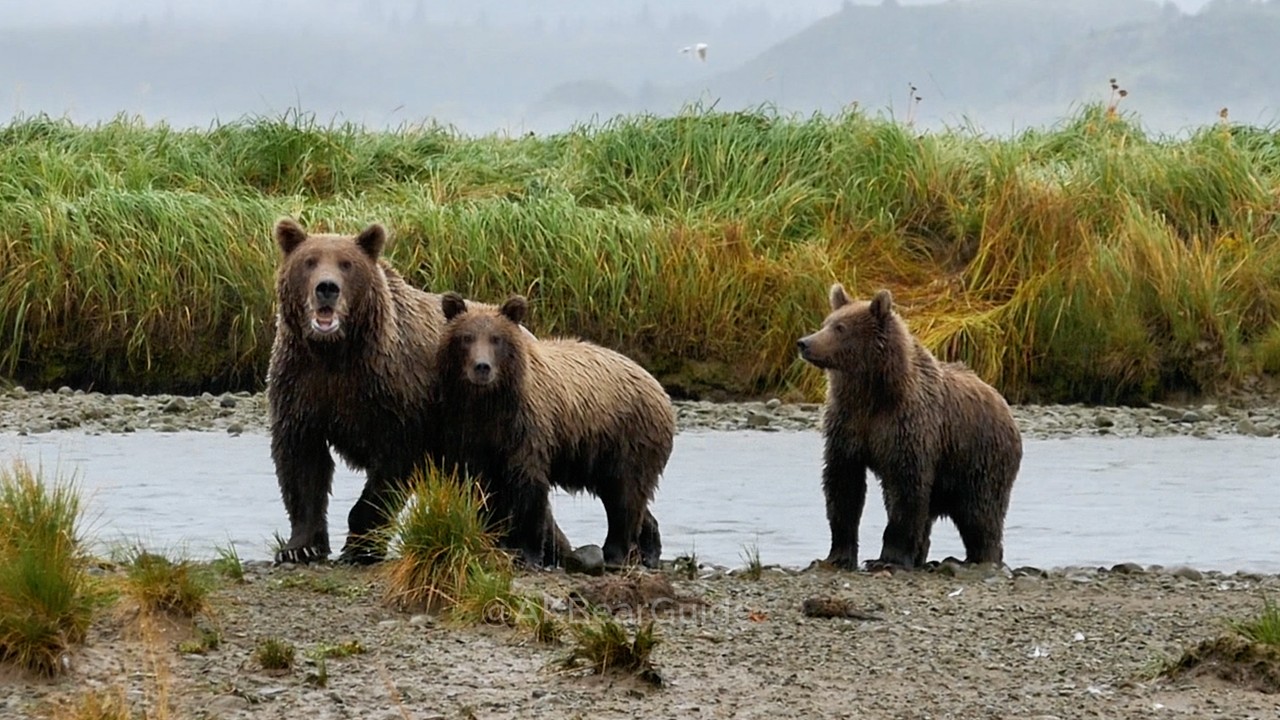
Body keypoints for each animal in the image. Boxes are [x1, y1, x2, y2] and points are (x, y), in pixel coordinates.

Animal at [265, 218, 570, 566]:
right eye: (309, 261)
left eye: (346, 264)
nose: (327, 288)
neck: (336, 353)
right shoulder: (301, 383)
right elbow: (301, 461)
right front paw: (299, 546)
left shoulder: (395, 394)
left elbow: (391, 467)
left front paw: (360, 546)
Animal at [435, 291, 675, 569]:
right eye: (466, 337)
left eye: (496, 339)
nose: (482, 367)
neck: (491, 402)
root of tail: (659, 388)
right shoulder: (471, 431)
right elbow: (480, 485)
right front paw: (494, 538)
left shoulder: (528, 429)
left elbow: (529, 488)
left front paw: (528, 552)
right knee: (632, 498)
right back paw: (650, 551)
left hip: (629, 437)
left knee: (625, 498)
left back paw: (615, 553)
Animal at [796, 284, 1022, 570]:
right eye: (827, 323)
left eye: (840, 328)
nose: (805, 343)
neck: (873, 394)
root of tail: (1002, 402)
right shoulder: (847, 425)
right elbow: (843, 485)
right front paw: (837, 556)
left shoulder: (908, 427)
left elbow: (906, 489)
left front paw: (888, 558)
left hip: (979, 458)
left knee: (980, 513)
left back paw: (980, 557)